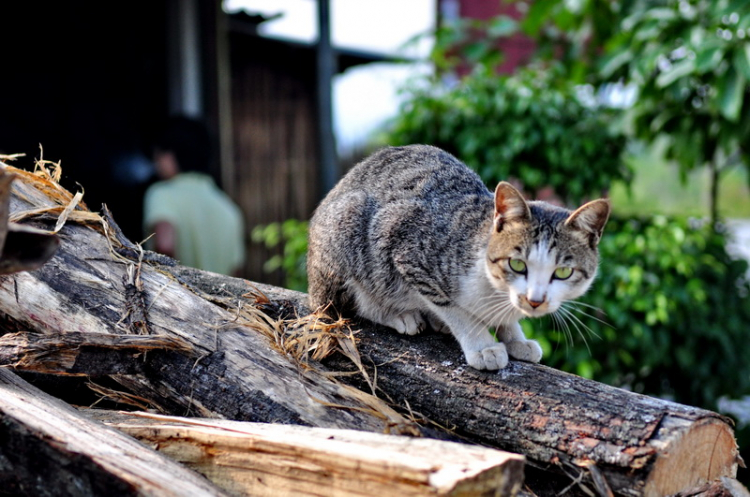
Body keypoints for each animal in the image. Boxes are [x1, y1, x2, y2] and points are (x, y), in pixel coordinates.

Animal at [306, 143, 612, 368]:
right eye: (517, 264)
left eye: (563, 272)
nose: (534, 300)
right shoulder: (406, 247)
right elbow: (454, 309)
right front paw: (482, 345)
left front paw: (514, 337)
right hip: (348, 228)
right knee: (343, 305)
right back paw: (399, 314)